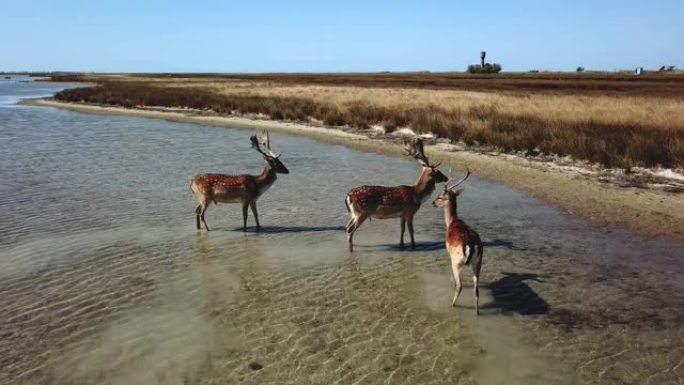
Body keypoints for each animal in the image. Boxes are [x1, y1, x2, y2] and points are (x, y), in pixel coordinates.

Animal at [430, 169, 484, 316]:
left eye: (441, 196)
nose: (433, 203)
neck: (452, 222)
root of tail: (471, 245)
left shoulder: (449, 253)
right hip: (478, 261)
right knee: (476, 288)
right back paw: (477, 312)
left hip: (456, 260)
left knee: (459, 285)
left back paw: (452, 305)